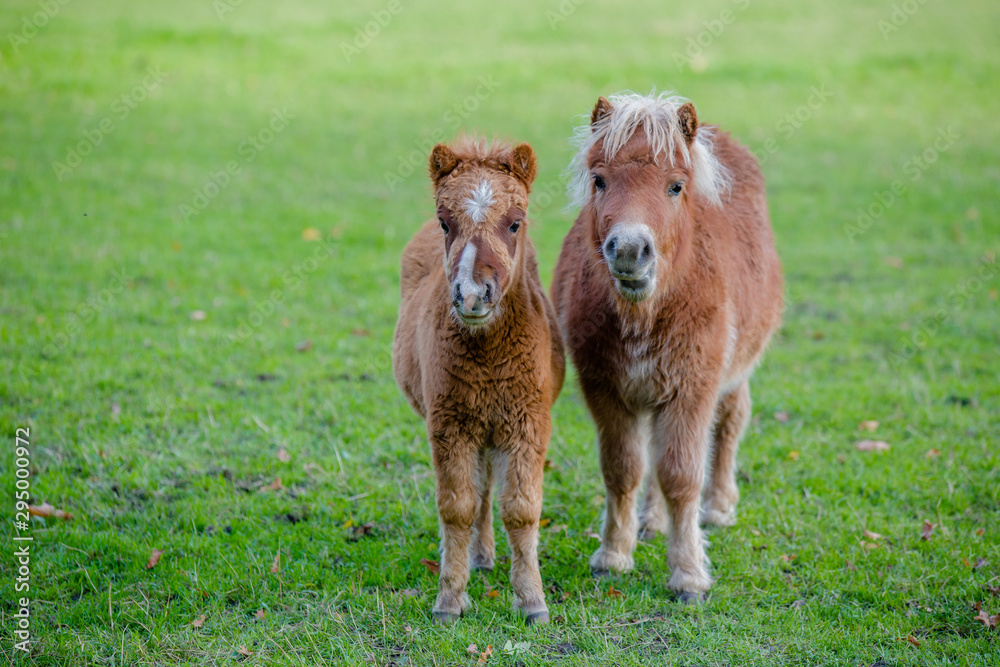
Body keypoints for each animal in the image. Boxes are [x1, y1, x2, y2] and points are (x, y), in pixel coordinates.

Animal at [392, 137, 565, 624]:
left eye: (515, 222)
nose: (472, 295)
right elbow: (456, 507)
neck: (488, 357)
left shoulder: (527, 423)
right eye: (444, 221)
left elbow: (522, 510)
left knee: (488, 487)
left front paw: (532, 600)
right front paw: (450, 598)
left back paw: (485, 556)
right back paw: (477, 555)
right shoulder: (449, 424)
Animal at [551, 92, 783, 601]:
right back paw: (651, 522)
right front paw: (613, 555)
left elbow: (681, 477)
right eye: (599, 180)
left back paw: (718, 508)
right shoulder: (606, 389)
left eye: (676, 186)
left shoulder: (693, 389)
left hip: (732, 374)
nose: (628, 250)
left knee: (731, 423)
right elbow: (623, 470)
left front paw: (689, 574)